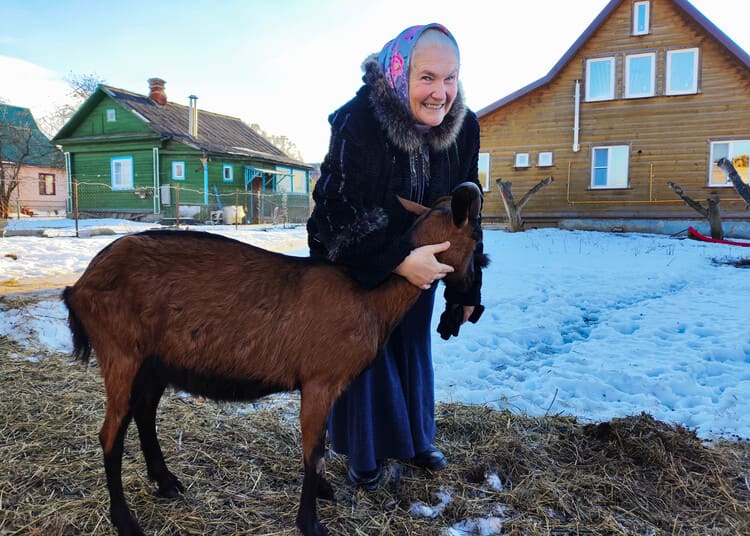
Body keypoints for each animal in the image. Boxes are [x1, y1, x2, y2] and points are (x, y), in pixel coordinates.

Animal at [64, 181, 488, 536]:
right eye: (477, 239)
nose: (472, 298)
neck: (367, 298)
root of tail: (79, 285)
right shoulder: (319, 381)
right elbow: (313, 451)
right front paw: (311, 522)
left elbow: (319, 446)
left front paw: (323, 493)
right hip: (121, 354)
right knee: (110, 432)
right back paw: (125, 521)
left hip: (154, 363)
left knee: (144, 414)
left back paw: (167, 483)